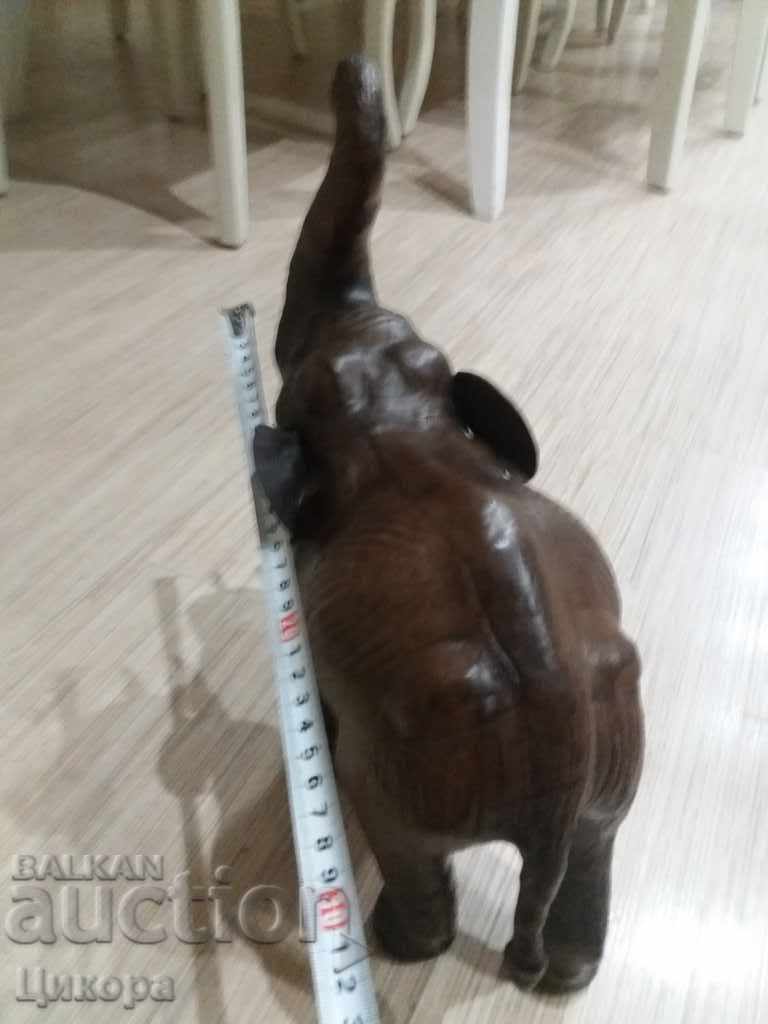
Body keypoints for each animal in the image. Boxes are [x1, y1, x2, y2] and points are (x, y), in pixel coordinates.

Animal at [252, 55, 644, 994]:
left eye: (297, 394)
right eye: (421, 351)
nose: (355, 72)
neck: (398, 429)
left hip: (411, 769)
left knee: (403, 843)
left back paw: (394, 942)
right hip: (618, 744)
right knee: (596, 843)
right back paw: (564, 973)